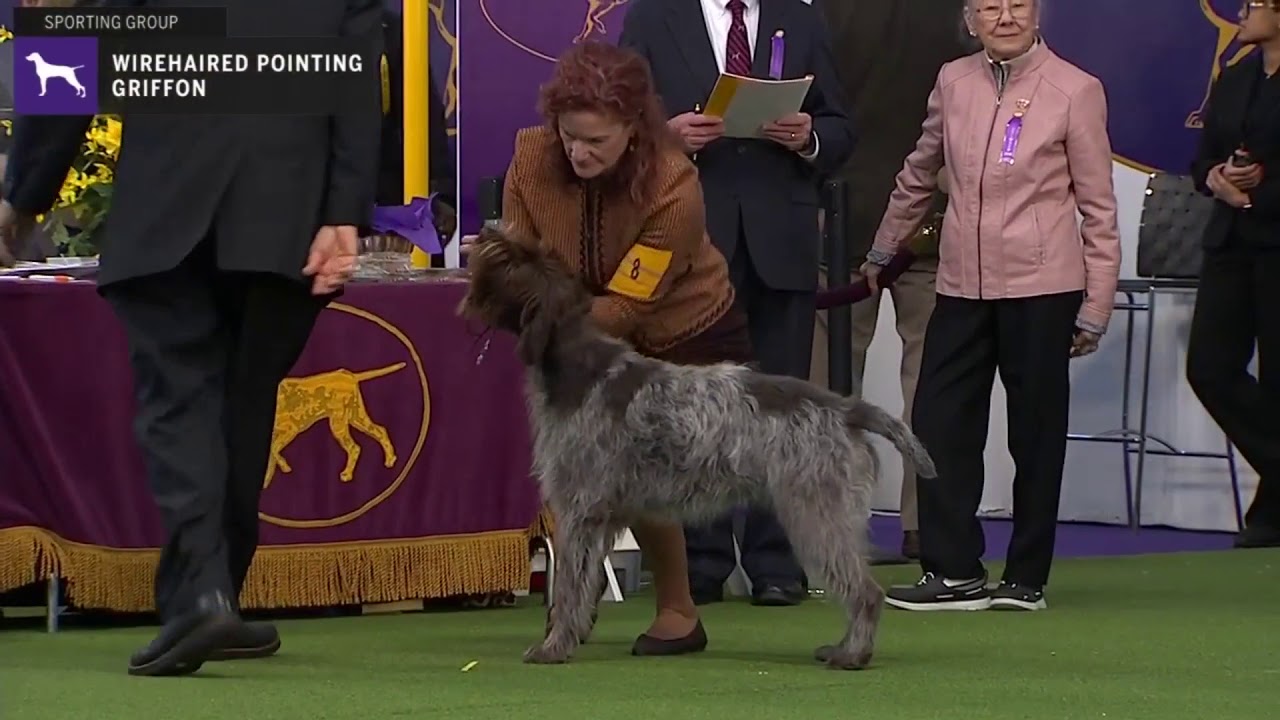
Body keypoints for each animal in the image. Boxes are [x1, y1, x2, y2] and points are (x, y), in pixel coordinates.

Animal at [455, 228, 936, 666]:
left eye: (510, 261)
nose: (489, 231)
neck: (577, 366)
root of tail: (846, 407)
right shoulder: (604, 516)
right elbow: (585, 583)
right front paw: (571, 634)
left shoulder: (580, 510)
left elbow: (570, 586)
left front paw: (554, 647)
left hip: (816, 514)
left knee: (866, 591)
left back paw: (852, 654)